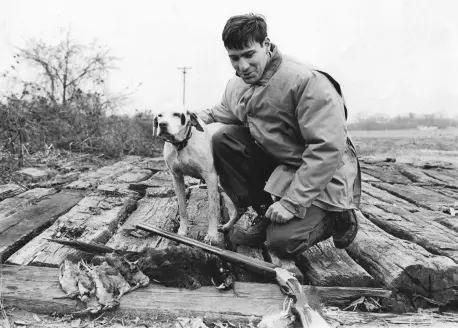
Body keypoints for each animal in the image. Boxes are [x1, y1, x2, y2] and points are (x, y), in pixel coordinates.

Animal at [153, 104, 242, 245]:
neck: (181, 146)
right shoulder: (177, 178)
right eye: (159, 115)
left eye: (176, 114)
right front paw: (182, 231)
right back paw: (227, 226)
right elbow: (182, 208)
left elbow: (213, 211)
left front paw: (212, 235)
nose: (162, 124)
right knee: (239, 209)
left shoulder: (210, 178)